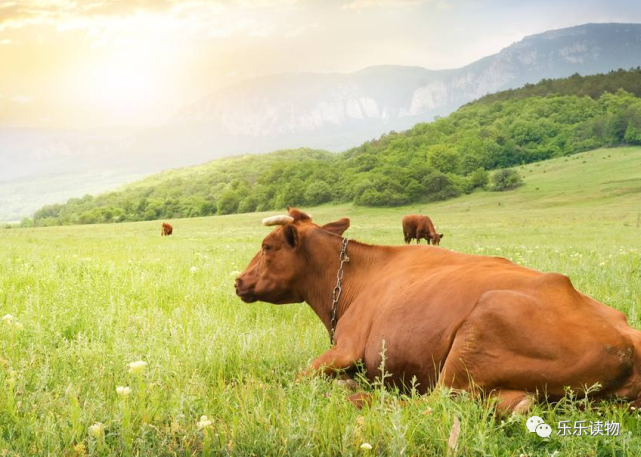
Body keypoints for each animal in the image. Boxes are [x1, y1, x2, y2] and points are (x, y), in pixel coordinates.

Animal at [234, 207, 640, 414]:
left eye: (267, 246)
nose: (238, 281)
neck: (351, 282)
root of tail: (629, 343)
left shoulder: (345, 348)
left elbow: (295, 376)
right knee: (515, 403)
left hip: (474, 336)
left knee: (435, 403)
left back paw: (356, 395)